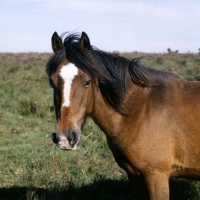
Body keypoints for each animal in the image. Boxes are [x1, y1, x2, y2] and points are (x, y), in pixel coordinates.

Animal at [45, 31, 200, 200]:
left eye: (87, 82)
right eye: (52, 82)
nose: (64, 138)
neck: (139, 110)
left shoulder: (157, 177)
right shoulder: (135, 176)